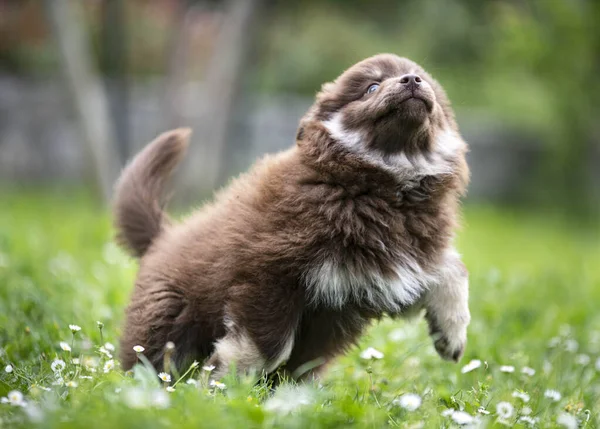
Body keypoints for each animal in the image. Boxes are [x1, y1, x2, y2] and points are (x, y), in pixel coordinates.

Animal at [112, 54, 468, 382]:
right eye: (372, 86)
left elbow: (452, 267)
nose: (412, 81)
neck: (387, 189)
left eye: (424, 80)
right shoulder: (271, 274)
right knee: (151, 359)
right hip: (167, 315)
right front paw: (227, 380)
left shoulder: (391, 272)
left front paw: (451, 333)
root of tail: (162, 236)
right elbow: (267, 346)